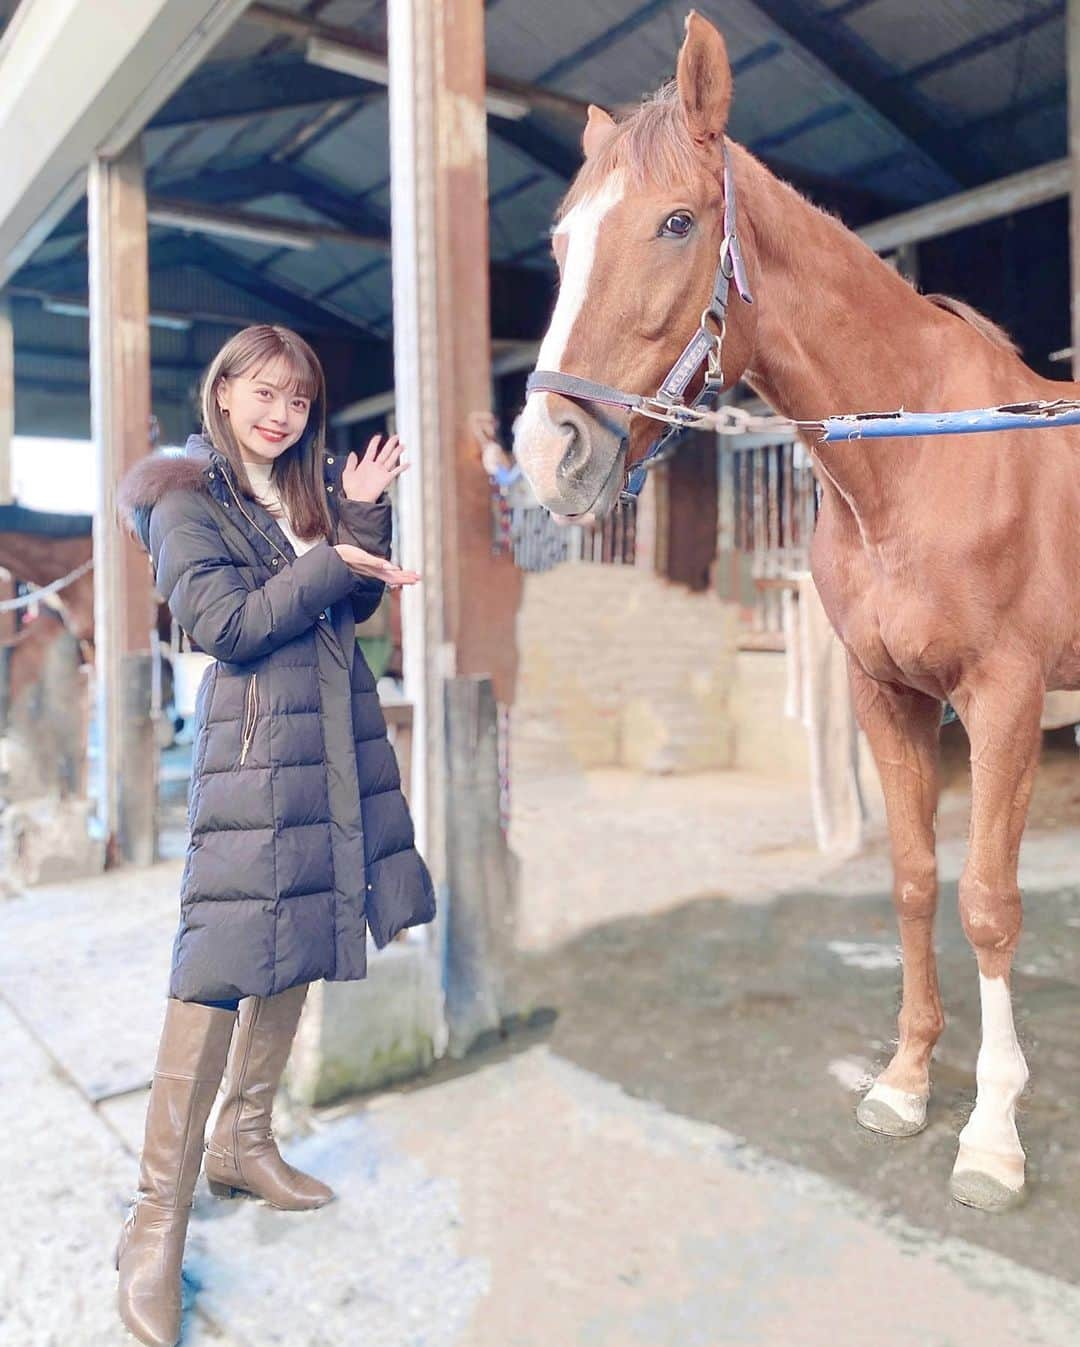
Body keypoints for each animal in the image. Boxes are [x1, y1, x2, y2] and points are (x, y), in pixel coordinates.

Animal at [511, 7, 1077, 1212]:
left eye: (679, 222)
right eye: (560, 242)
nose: (549, 452)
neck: (920, 459)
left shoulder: (1003, 699)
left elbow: (988, 901)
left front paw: (992, 1136)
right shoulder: (884, 695)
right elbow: (912, 882)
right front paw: (906, 1084)